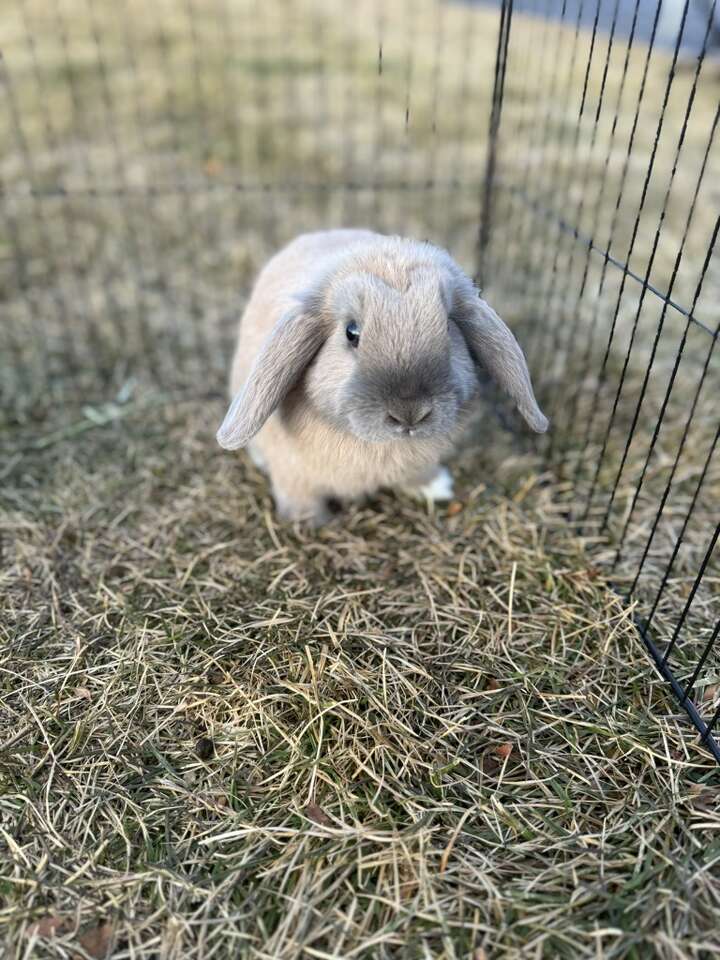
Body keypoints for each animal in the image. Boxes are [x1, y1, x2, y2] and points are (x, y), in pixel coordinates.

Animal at [217, 230, 548, 528]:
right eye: (351, 332)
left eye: (448, 326)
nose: (409, 413)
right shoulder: (292, 472)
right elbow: (300, 495)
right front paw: (311, 523)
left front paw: (436, 487)